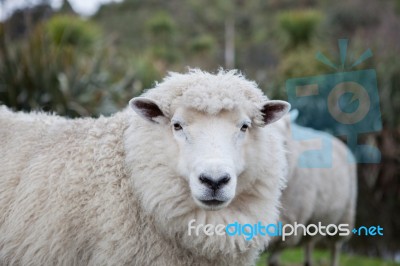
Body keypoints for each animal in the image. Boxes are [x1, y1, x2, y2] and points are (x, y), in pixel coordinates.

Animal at [268, 111, 356, 266]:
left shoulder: (290, 222)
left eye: (285, 143)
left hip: (344, 217)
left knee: (335, 246)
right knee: (309, 242)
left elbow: (274, 257)